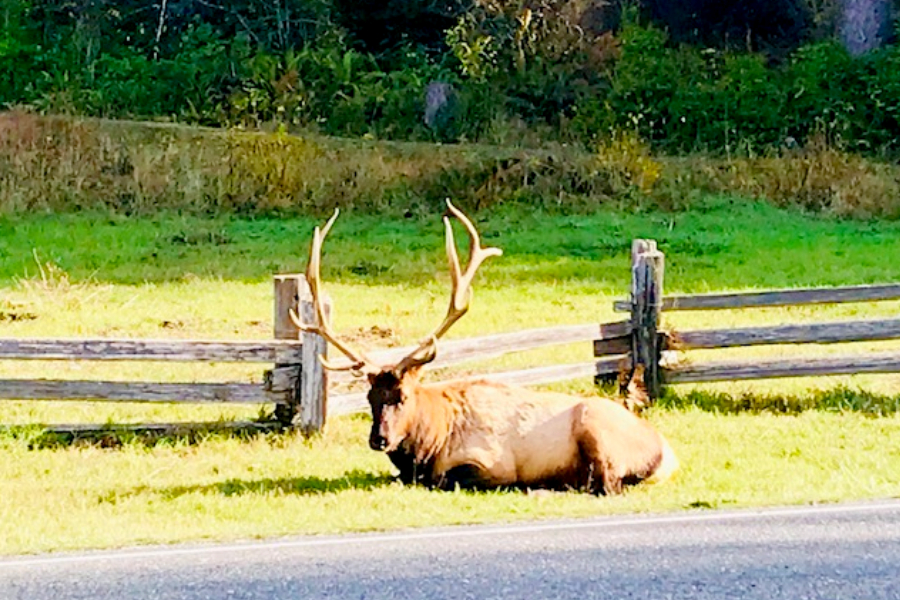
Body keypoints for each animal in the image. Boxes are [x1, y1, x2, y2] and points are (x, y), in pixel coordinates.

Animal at [292, 200, 680, 492]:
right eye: (370, 397)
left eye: (402, 396)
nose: (379, 439)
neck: (430, 444)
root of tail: (666, 453)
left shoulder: (490, 461)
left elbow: (447, 479)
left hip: (597, 430)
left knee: (606, 484)